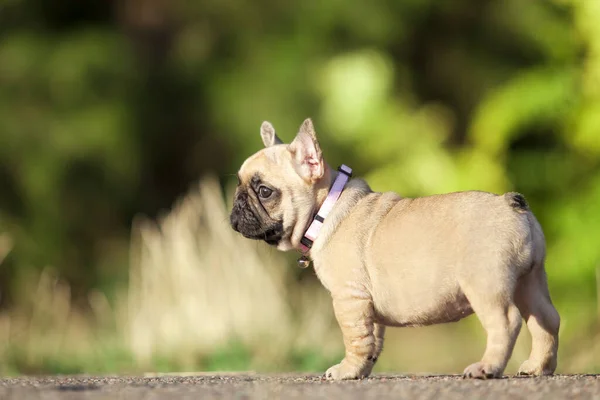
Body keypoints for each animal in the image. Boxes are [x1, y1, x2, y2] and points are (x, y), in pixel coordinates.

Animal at [229, 118, 556, 378]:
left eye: (264, 191)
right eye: (239, 185)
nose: (235, 208)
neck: (327, 209)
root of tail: (512, 203)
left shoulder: (349, 299)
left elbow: (355, 339)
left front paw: (346, 370)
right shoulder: (366, 305)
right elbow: (371, 341)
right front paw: (360, 371)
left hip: (485, 283)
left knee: (507, 321)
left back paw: (487, 368)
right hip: (530, 281)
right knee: (546, 320)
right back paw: (539, 367)